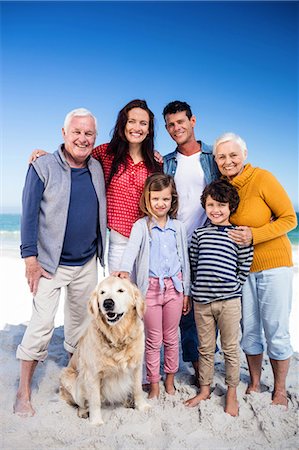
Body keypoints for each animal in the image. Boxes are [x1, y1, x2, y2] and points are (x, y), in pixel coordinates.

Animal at [59, 274, 150, 426]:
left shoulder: (136, 367)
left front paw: (142, 407)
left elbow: (138, 389)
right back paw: (83, 412)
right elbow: (94, 400)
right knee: (81, 403)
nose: (107, 303)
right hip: (71, 378)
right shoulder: (92, 374)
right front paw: (96, 422)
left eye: (121, 290)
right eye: (102, 292)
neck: (117, 336)